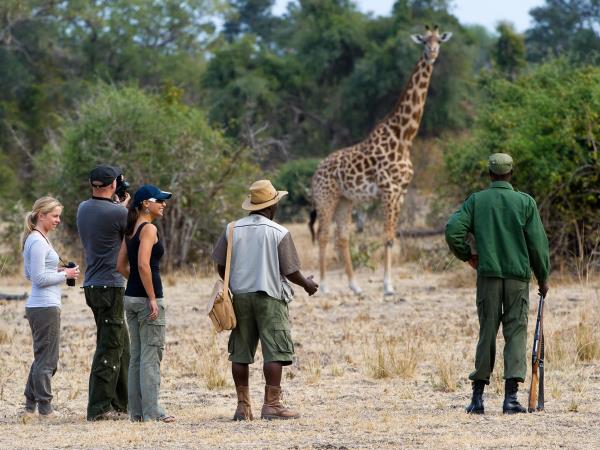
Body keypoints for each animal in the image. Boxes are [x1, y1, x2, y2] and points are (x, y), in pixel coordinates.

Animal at [312, 27, 452, 296]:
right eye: (424, 41)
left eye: (439, 41)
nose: (432, 53)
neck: (404, 137)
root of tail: (315, 173)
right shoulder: (388, 190)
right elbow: (387, 236)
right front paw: (387, 286)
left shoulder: (401, 192)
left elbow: (391, 236)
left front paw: (388, 283)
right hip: (326, 197)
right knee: (323, 235)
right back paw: (323, 286)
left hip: (345, 200)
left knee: (342, 237)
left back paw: (355, 286)